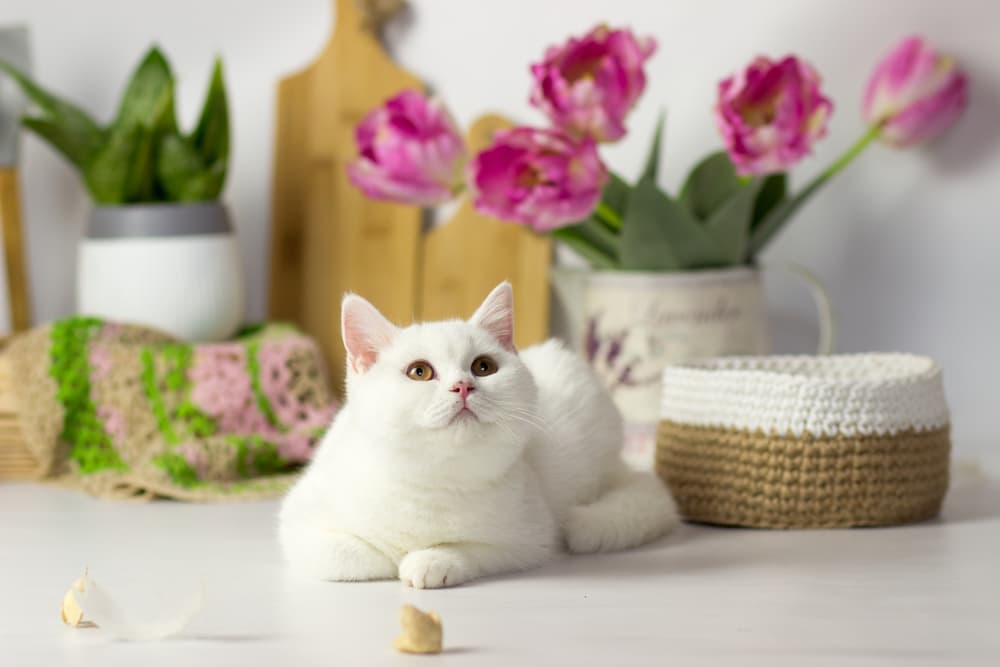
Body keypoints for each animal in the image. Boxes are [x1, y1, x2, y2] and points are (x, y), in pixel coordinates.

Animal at [278, 282, 676, 588]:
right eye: (419, 372)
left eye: (483, 367)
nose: (463, 386)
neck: (433, 479)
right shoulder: (297, 520)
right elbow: (347, 554)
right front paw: (392, 554)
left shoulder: (530, 535)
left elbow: (474, 548)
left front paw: (430, 559)